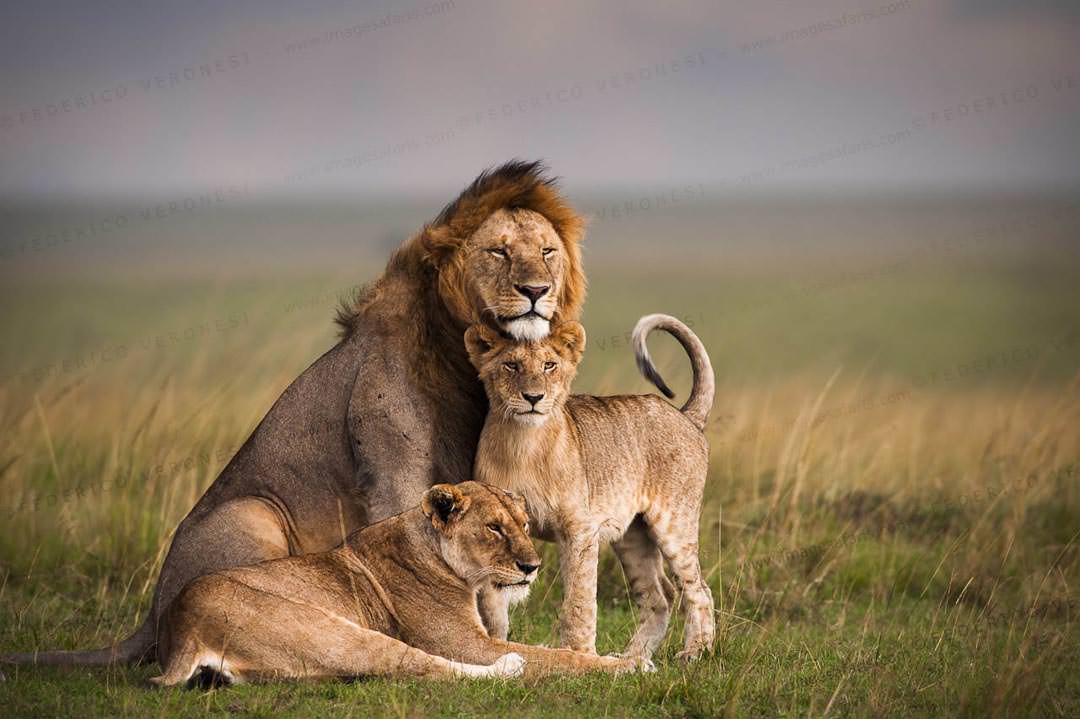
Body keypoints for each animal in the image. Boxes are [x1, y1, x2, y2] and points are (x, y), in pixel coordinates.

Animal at [2, 159, 583, 665]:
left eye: (547, 252)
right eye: (498, 253)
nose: (537, 291)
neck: (460, 355)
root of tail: (150, 615)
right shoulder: (395, 476)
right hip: (252, 513)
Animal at [150, 481, 639, 682]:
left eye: (522, 523)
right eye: (494, 528)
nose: (532, 566)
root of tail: (182, 628)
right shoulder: (466, 643)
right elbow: (556, 657)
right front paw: (625, 665)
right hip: (330, 630)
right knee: (425, 667)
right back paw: (509, 668)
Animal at [464, 313, 717, 660]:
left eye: (549, 365)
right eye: (511, 365)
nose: (533, 398)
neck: (522, 443)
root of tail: (685, 416)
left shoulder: (580, 529)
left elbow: (579, 601)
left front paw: (579, 654)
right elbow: (492, 606)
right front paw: (495, 647)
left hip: (675, 523)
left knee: (698, 590)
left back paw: (695, 652)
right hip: (632, 537)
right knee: (659, 597)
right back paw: (632, 658)